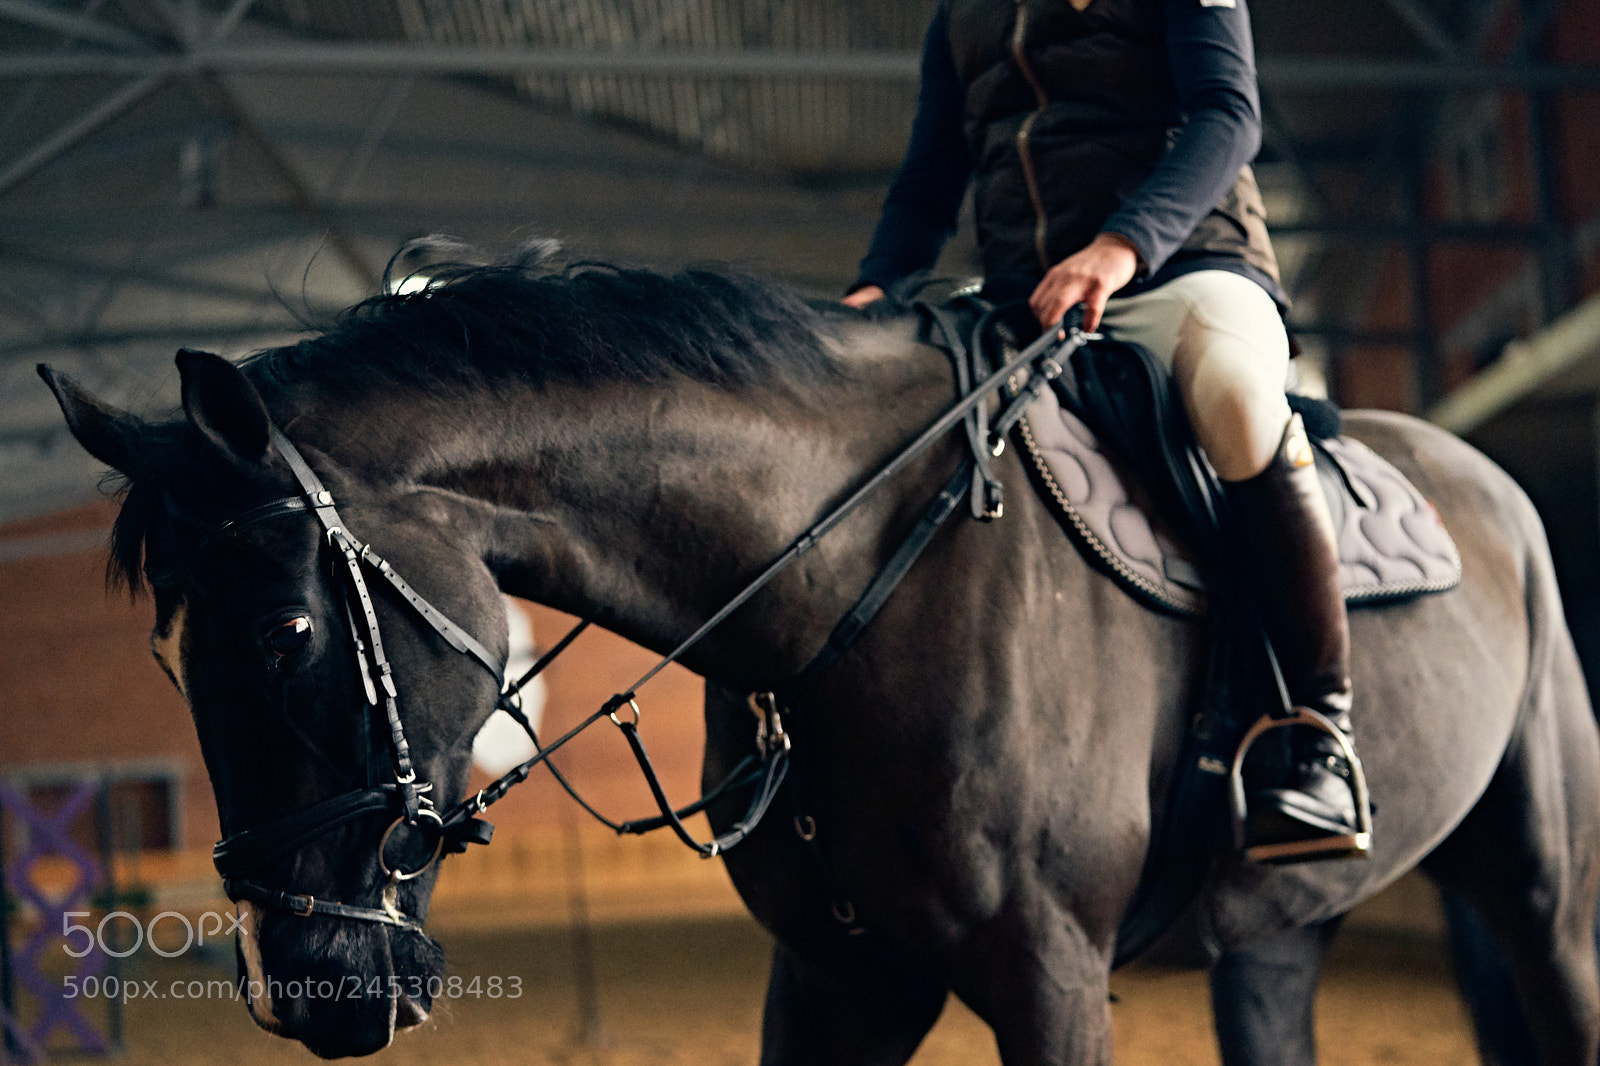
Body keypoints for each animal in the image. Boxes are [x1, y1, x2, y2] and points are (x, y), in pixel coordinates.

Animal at [39, 256, 1600, 1064]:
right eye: (171, 661)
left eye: (286, 631)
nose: (302, 985)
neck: (848, 595)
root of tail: (1488, 474)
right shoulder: (838, 977)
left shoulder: (1049, 977)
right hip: (1275, 929)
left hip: (1543, 887)